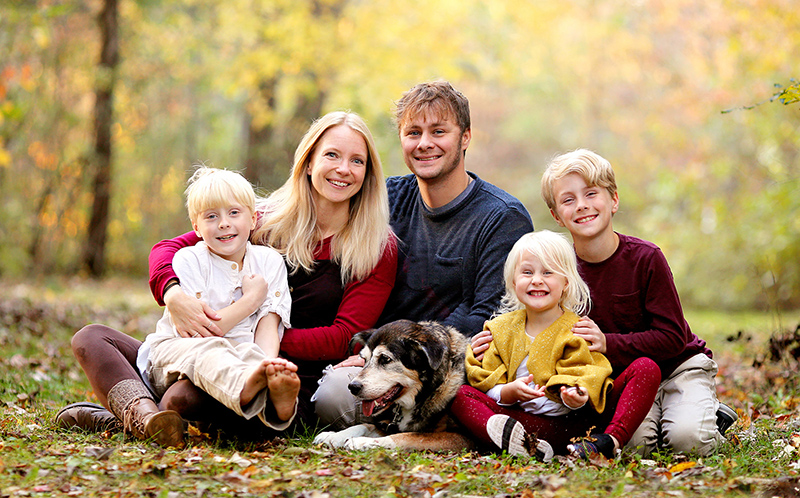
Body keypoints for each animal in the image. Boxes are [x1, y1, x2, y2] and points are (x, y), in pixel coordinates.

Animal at [312, 320, 476, 452]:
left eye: (385, 359)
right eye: (364, 359)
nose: (353, 387)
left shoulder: (462, 437)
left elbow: (409, 436)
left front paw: (364, 442)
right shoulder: (388, 424)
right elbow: (364, 425)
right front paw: (333, 436)